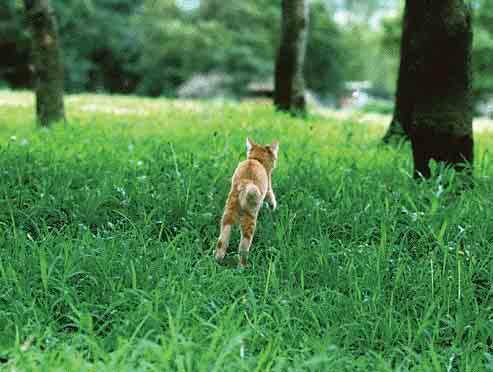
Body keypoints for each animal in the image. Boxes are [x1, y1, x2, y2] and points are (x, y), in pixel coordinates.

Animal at [214, 138, 278, 266]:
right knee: (244, 246)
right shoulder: (268, 186)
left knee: (222, 241)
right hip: (250, 216)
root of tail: (245, 184)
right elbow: (271, 198)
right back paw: (243, 266)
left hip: (228, 213)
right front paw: (272, 208)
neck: (256, 159)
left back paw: (218, 259)